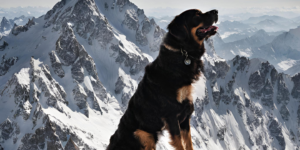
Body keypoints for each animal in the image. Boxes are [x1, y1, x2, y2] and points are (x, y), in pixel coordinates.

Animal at [107, 8, 218, 149]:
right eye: (197, 14)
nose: (216, 11)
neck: (181, 52)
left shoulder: (185, 116)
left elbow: (188, 144)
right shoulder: (172, 115)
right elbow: (180, 144)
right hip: (143, 135)